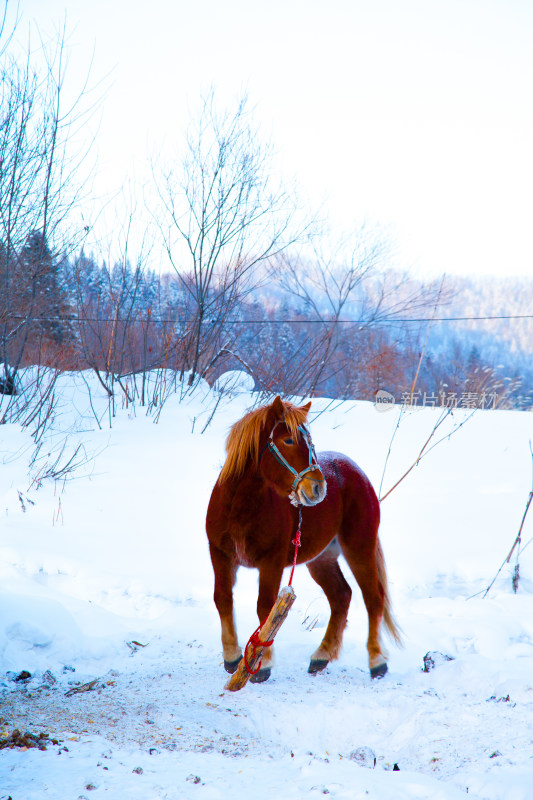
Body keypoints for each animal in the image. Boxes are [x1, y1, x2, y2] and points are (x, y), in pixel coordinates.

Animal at [206, 394, 402, 680]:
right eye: (288, 440)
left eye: (310, 441)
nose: (318, 488)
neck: (239, 508)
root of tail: (357, 471)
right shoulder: (219, 554)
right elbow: (222, 599)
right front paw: (232, 657)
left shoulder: (271, 562)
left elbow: (265, 607)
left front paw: (263, 663)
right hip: (321, 559)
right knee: (341, 596)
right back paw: (321, 656)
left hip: (359, 547)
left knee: (373, 599)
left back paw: (376, 661)